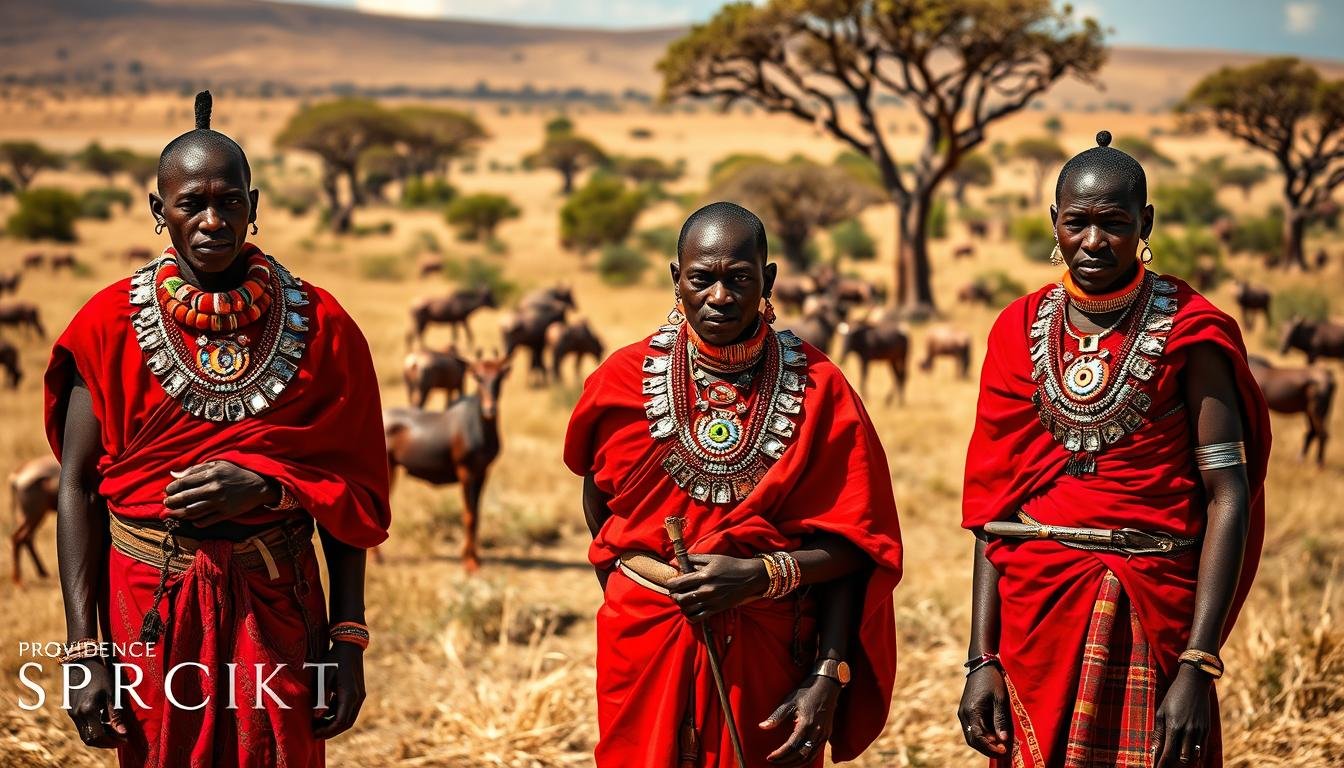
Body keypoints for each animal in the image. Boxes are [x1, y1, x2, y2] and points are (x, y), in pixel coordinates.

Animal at [392, 355, 516, 570]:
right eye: (478, 377)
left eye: (500, 377)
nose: (490, 409)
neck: (479, 427)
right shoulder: (465, 473)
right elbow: (468, 515)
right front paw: (469, 561)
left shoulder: (483, 473)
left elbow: (476, 514)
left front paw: (474, 557)